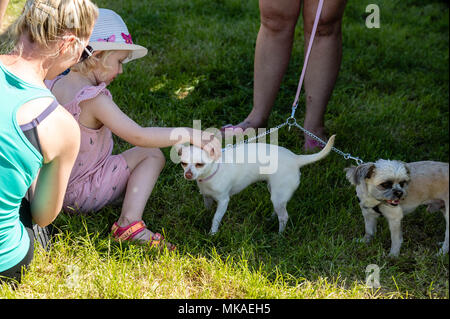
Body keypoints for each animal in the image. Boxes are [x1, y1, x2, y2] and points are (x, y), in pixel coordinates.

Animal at [175, 135, 334, 235]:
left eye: (200, 164)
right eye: (183, 163)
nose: (188, 174)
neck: (211, 174)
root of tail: (296, 159)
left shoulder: (224, 201)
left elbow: (216, 218)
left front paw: (212, 233)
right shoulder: (207, 197)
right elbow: (208, 210)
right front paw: (205, 217)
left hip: (278, 194)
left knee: (284, 217)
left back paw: (279, 235)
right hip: (275, 192)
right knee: (279, 209)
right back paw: (271, 219)